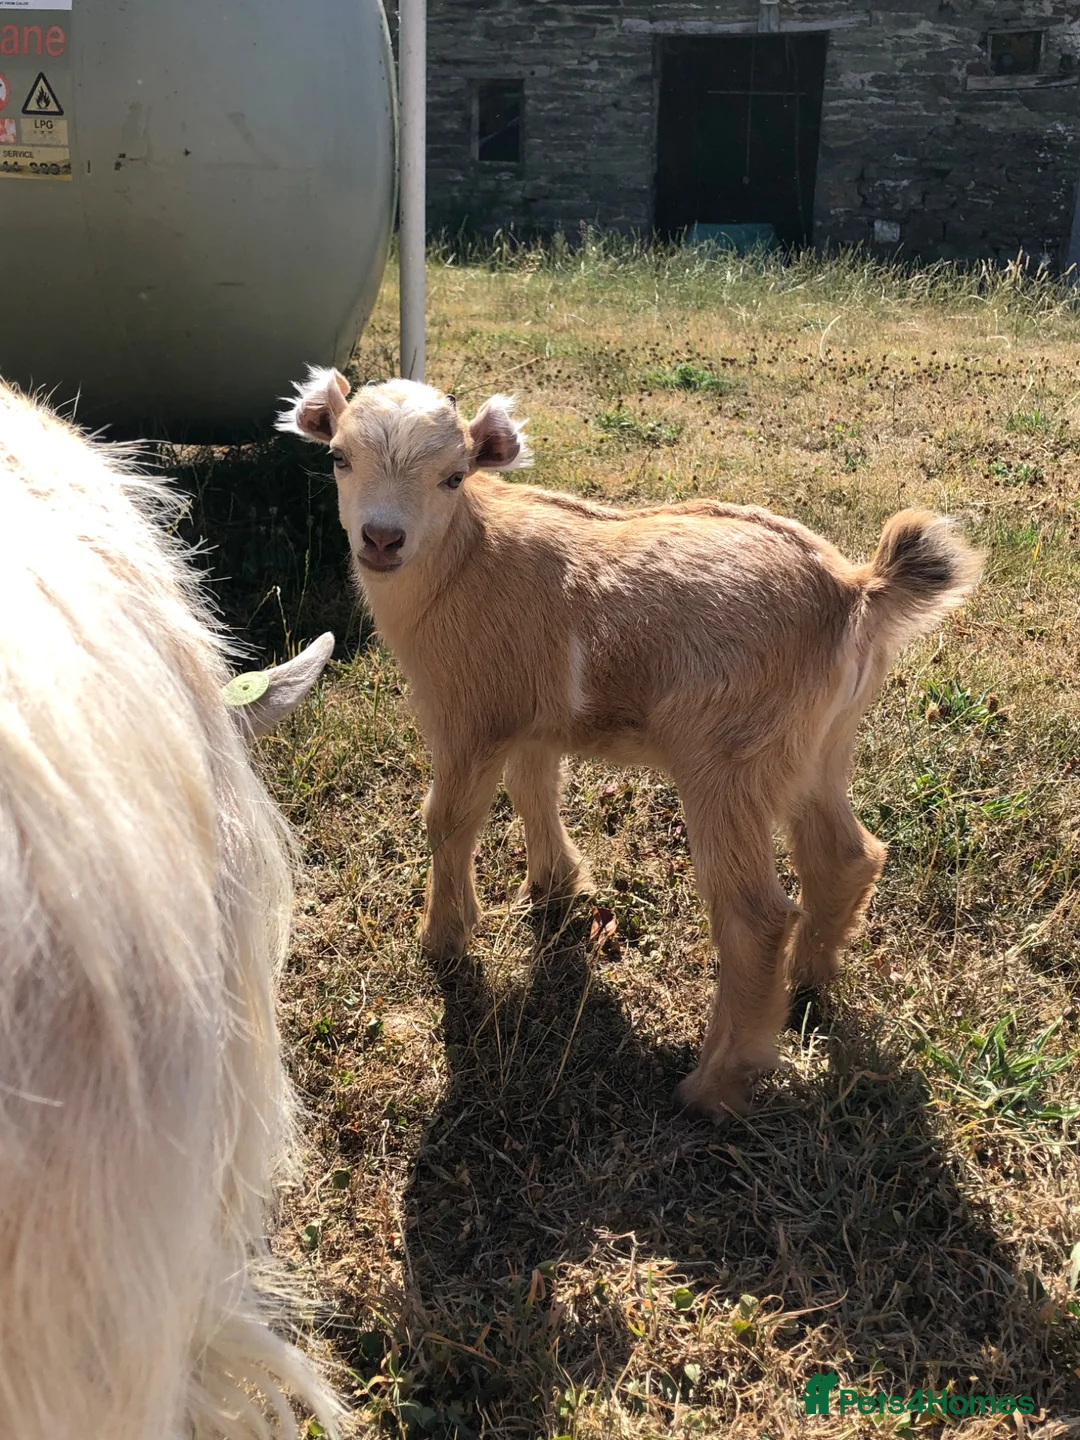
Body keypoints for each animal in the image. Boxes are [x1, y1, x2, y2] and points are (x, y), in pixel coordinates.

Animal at [279, 369, 982, 1117]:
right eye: (338, 457)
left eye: (453, 476)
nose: (382, 539)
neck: (466, 559)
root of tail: (854, 589)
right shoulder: (533, 715)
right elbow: (534, 785)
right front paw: (553, 887)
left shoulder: (471, 713)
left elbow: (449, 819)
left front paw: (442, 941)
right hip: (818, 748)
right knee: (847, 855)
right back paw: (808, 986)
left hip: (727, 762)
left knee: (757, 918)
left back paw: (715, 1087)